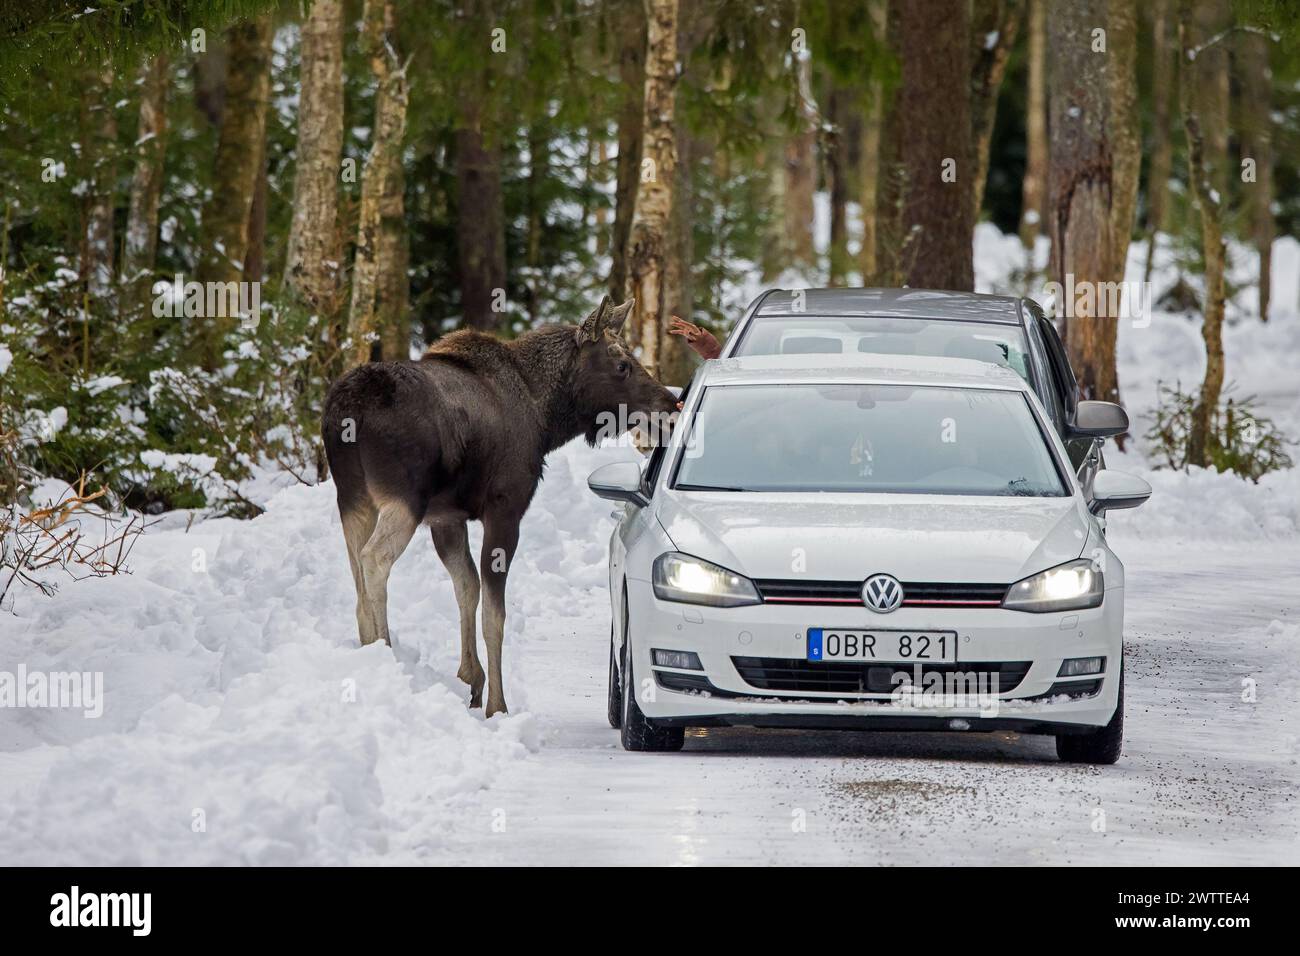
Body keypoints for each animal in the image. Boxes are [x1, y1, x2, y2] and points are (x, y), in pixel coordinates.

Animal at [322, 299, 681, 717]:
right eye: (621, 364)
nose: (671, 407)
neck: (547, 419)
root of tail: (346, 412)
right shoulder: (505, 508)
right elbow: (495, 613)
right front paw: (498, 704)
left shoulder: (447, 517)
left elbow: (467, 587)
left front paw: (470, 680)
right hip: (403, 498)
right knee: (374, 558)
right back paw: (385, 653)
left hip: (353, 497)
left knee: (356, 571)